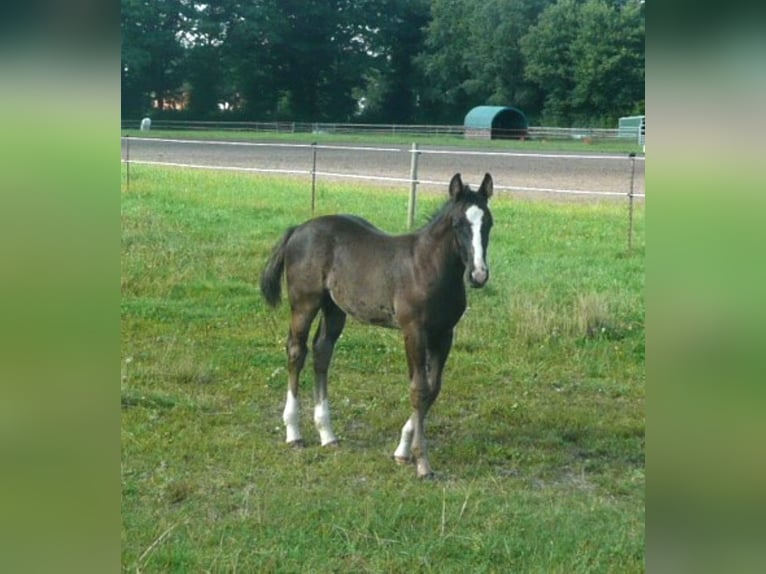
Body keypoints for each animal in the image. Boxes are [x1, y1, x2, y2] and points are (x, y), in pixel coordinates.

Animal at [260, 173, 496, 480]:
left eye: (488, 223)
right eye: (458, 224)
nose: (479, 275)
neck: (428, 266)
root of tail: (298, 229)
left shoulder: (445, 334)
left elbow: (433, 388)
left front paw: (403, 450)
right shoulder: (414, 331)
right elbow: (418, 389)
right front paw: (422, 462)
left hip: (334, 308)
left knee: (322, 353)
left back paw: (327, 434)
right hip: (305, 303)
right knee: (296, 352)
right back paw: (294, 433)